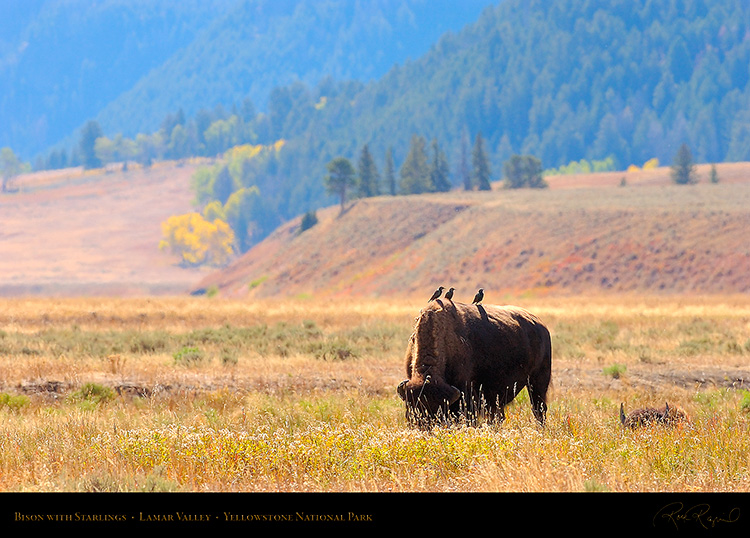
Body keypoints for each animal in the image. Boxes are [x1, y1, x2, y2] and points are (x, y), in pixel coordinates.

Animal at [400, 300, 552, 426]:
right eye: (414, 409)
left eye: (441, 411)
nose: (427, 428)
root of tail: (541, 326)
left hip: (538, 381)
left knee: (538, 410)